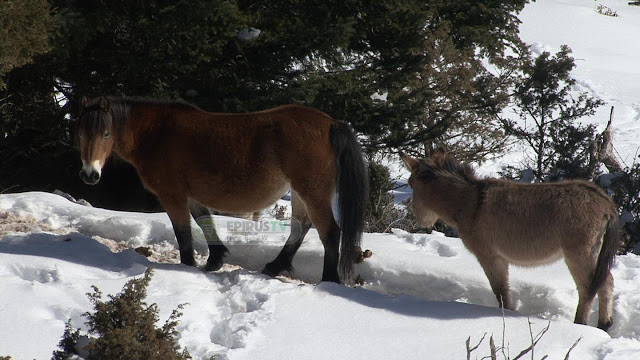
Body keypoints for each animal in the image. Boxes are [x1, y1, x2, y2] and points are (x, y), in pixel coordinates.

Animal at [75, 97, 368, 282]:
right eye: (81, 133)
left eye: (106, 134)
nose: (89, 174)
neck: (157, 134)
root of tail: (331, 124)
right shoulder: (189, 195)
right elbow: (204, 221)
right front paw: (215, 260)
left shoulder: (172, 195)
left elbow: (184, 233)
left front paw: (188, 267)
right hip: (300, 192)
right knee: (301, 227)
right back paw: (274, 267)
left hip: (312, 192)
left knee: (329, 232)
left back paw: (329, 279)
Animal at [400, 148, 620, 330]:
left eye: (411, 184)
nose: (419, 219)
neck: (471, 203)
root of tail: (605, 202)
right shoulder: (499, 258)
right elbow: (504, 290)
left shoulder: (489, 256)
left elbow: (500, 291)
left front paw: (504, 316)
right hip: (592, 253)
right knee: (606, 283)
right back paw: (604, 325)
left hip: (579, 254)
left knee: (589, 287)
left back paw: (581, 325)